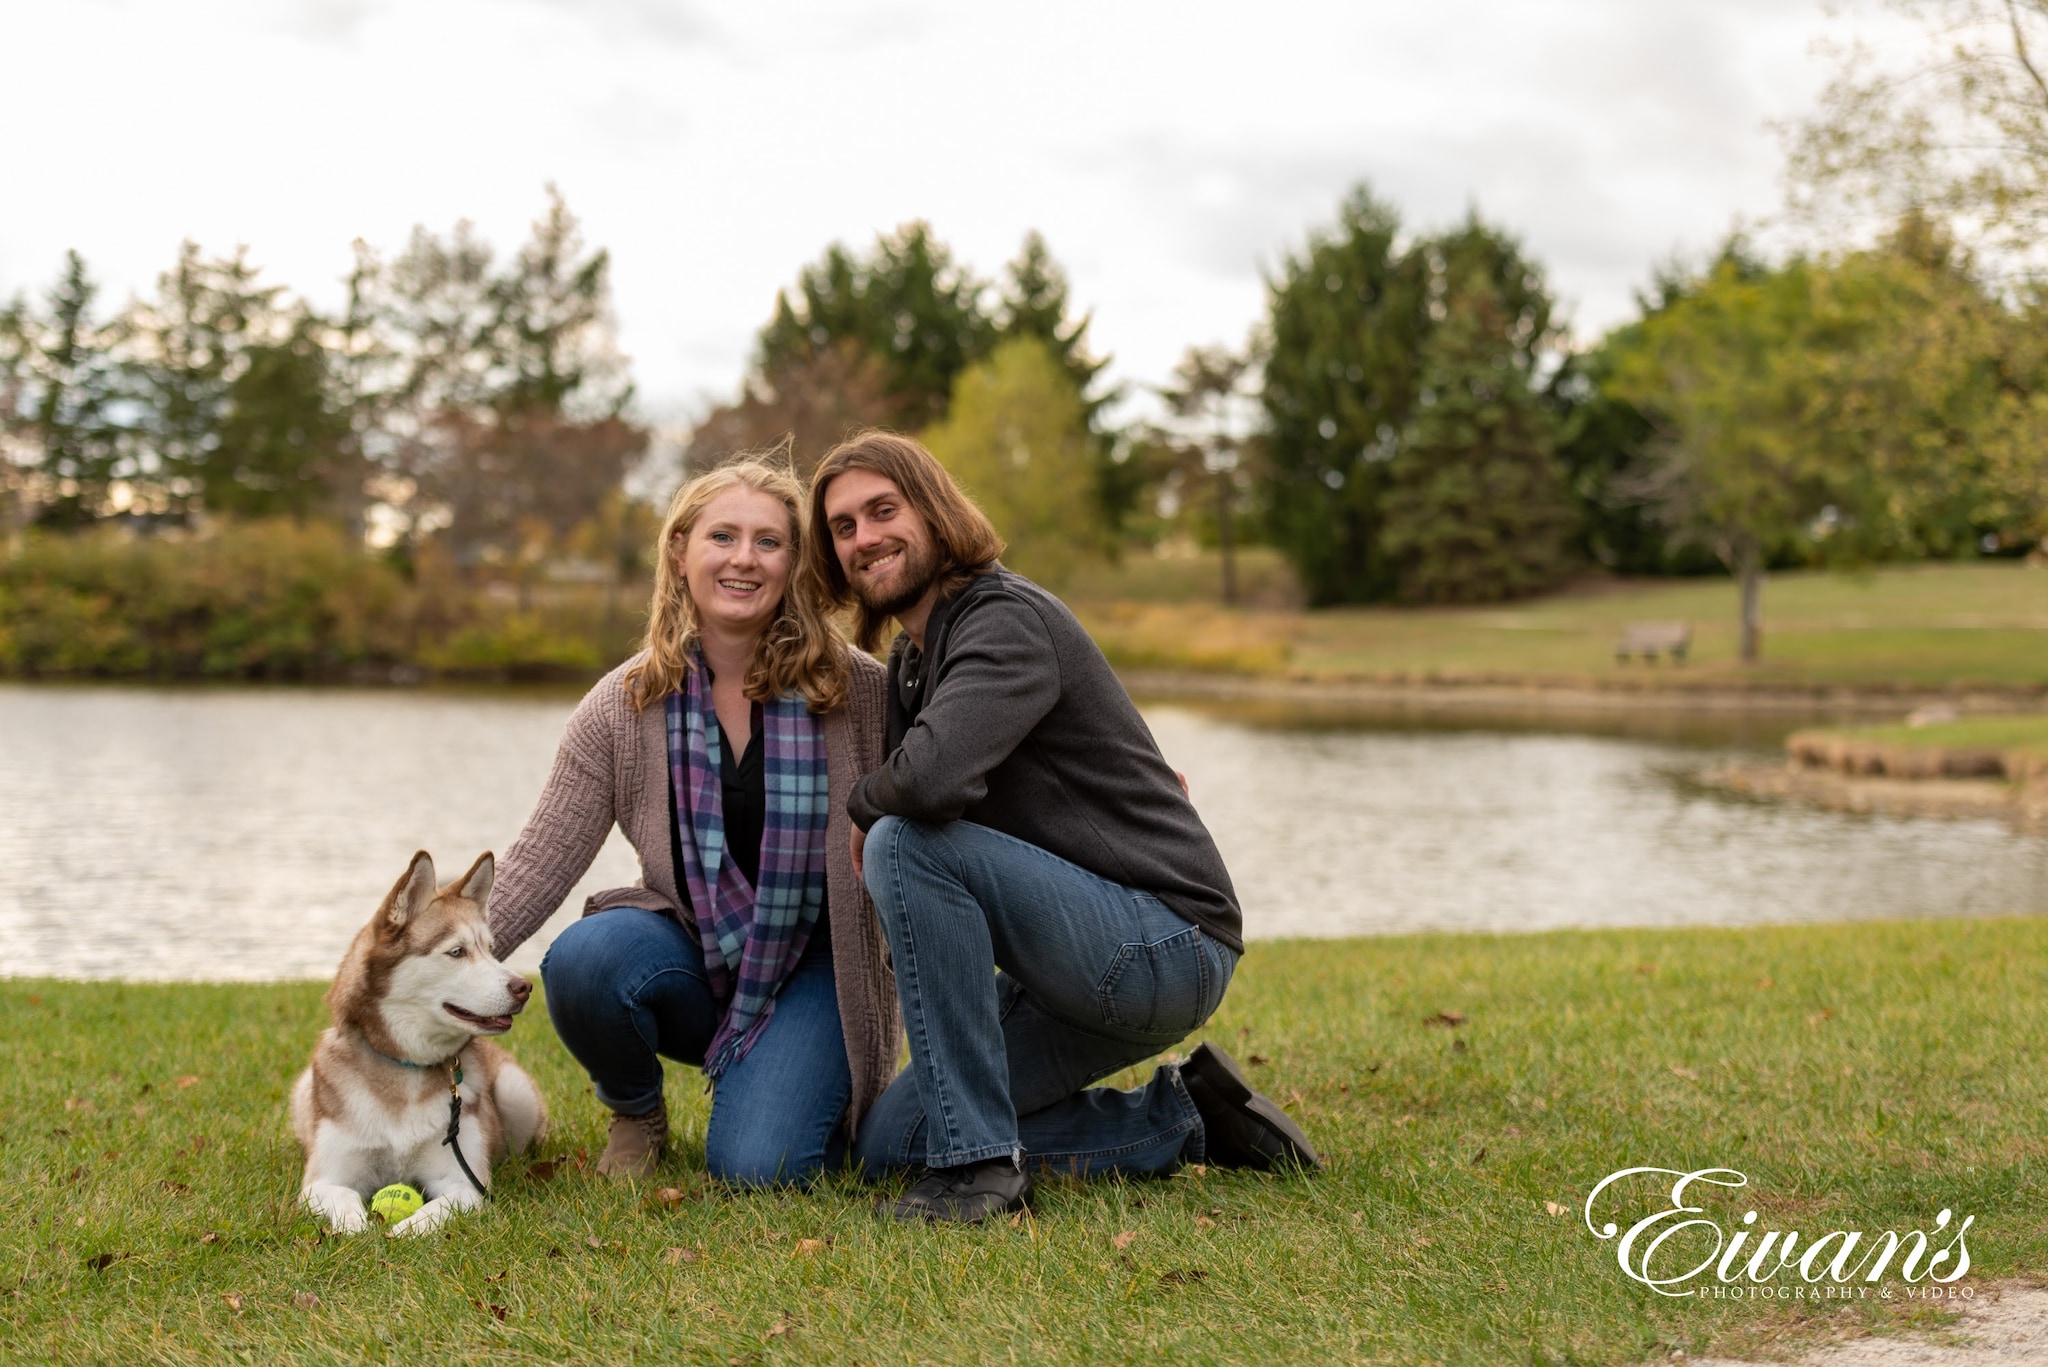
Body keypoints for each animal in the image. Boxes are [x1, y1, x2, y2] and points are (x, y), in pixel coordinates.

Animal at [290, 848, 544, 1237]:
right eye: (457, 952)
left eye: (490, 950)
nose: (524, 987)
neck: (407, 1067)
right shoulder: (322, 1182)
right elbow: (345, 1200)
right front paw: (359, 1229)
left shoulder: (465, 1183)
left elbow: (433, 1211)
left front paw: (399, 1232)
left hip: (514, 1090)